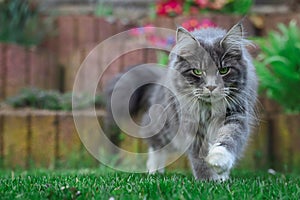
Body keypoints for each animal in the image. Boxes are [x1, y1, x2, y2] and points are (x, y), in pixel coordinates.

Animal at [104, 22, 256, 181]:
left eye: (223, 70)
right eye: (197, 71)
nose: (211, 87)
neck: (208, 109)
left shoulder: (236, 115)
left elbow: (228, 137)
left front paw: (218, 162)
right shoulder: (189, 123)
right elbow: (198, 155)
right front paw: (207, 179)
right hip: (166, 125)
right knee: (154, 142)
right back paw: (154, 170)